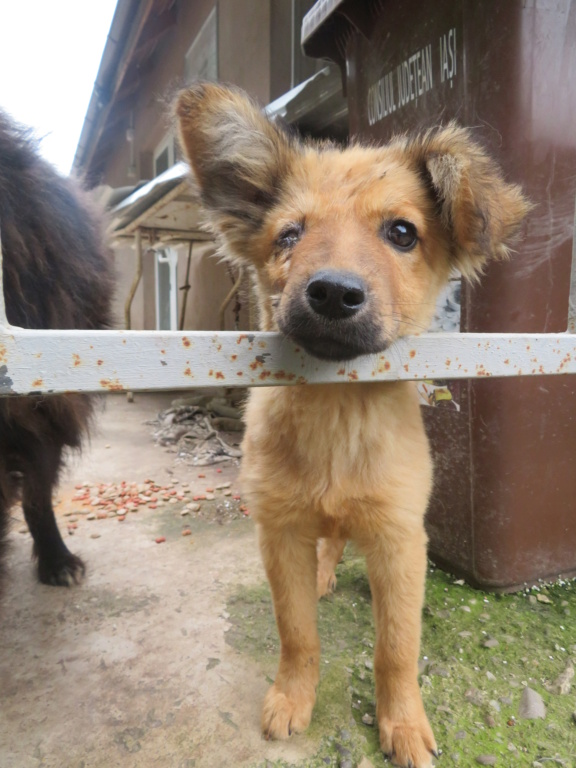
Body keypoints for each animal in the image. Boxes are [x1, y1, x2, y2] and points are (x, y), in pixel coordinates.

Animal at [177, 84, 532, 768]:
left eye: (403, 232)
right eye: (289, 234)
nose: (333, 294)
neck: (337, 413)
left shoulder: (399, 538)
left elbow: (396, 647)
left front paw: (403, 724)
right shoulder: (279, 532)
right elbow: (296, 633)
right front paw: (293, 698)